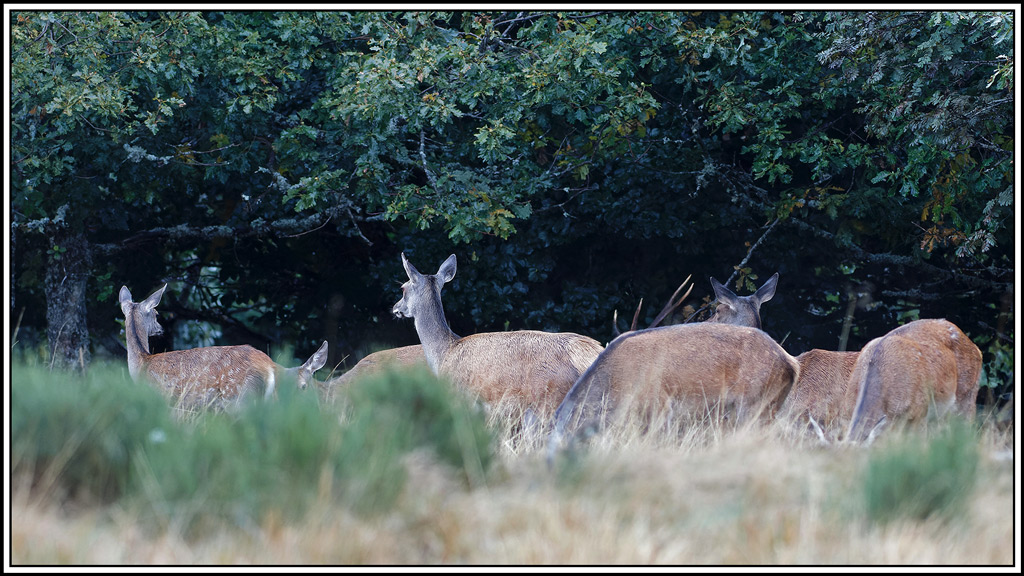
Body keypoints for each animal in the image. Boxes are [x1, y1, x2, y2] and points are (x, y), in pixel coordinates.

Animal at [119, 284, 329, 411]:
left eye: (156, 313)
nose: (161, 329)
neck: (142, 363)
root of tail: (269, 365)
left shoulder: (164, 400)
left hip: (239, 397)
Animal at [391, 253, 605, 419]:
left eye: (403, 288)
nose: (395, 308)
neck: (444, 352)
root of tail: (590, 352)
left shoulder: (459, 397)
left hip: (552, 397)